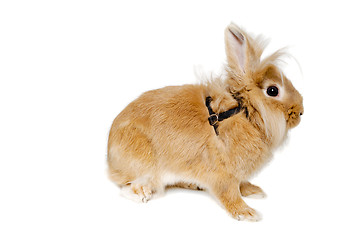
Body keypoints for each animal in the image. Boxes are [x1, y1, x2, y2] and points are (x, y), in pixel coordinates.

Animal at [106, 23, 300, 221]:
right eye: (273, 90)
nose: (300, 112)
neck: (243, 111)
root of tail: (110, 159)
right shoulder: (223, 174)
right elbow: (230, 194)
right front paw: (247, 213)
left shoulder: (237, 173)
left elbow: (241, 184)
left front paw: (254, 191)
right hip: (145, 164)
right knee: (128, 186)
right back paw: (142, 194)